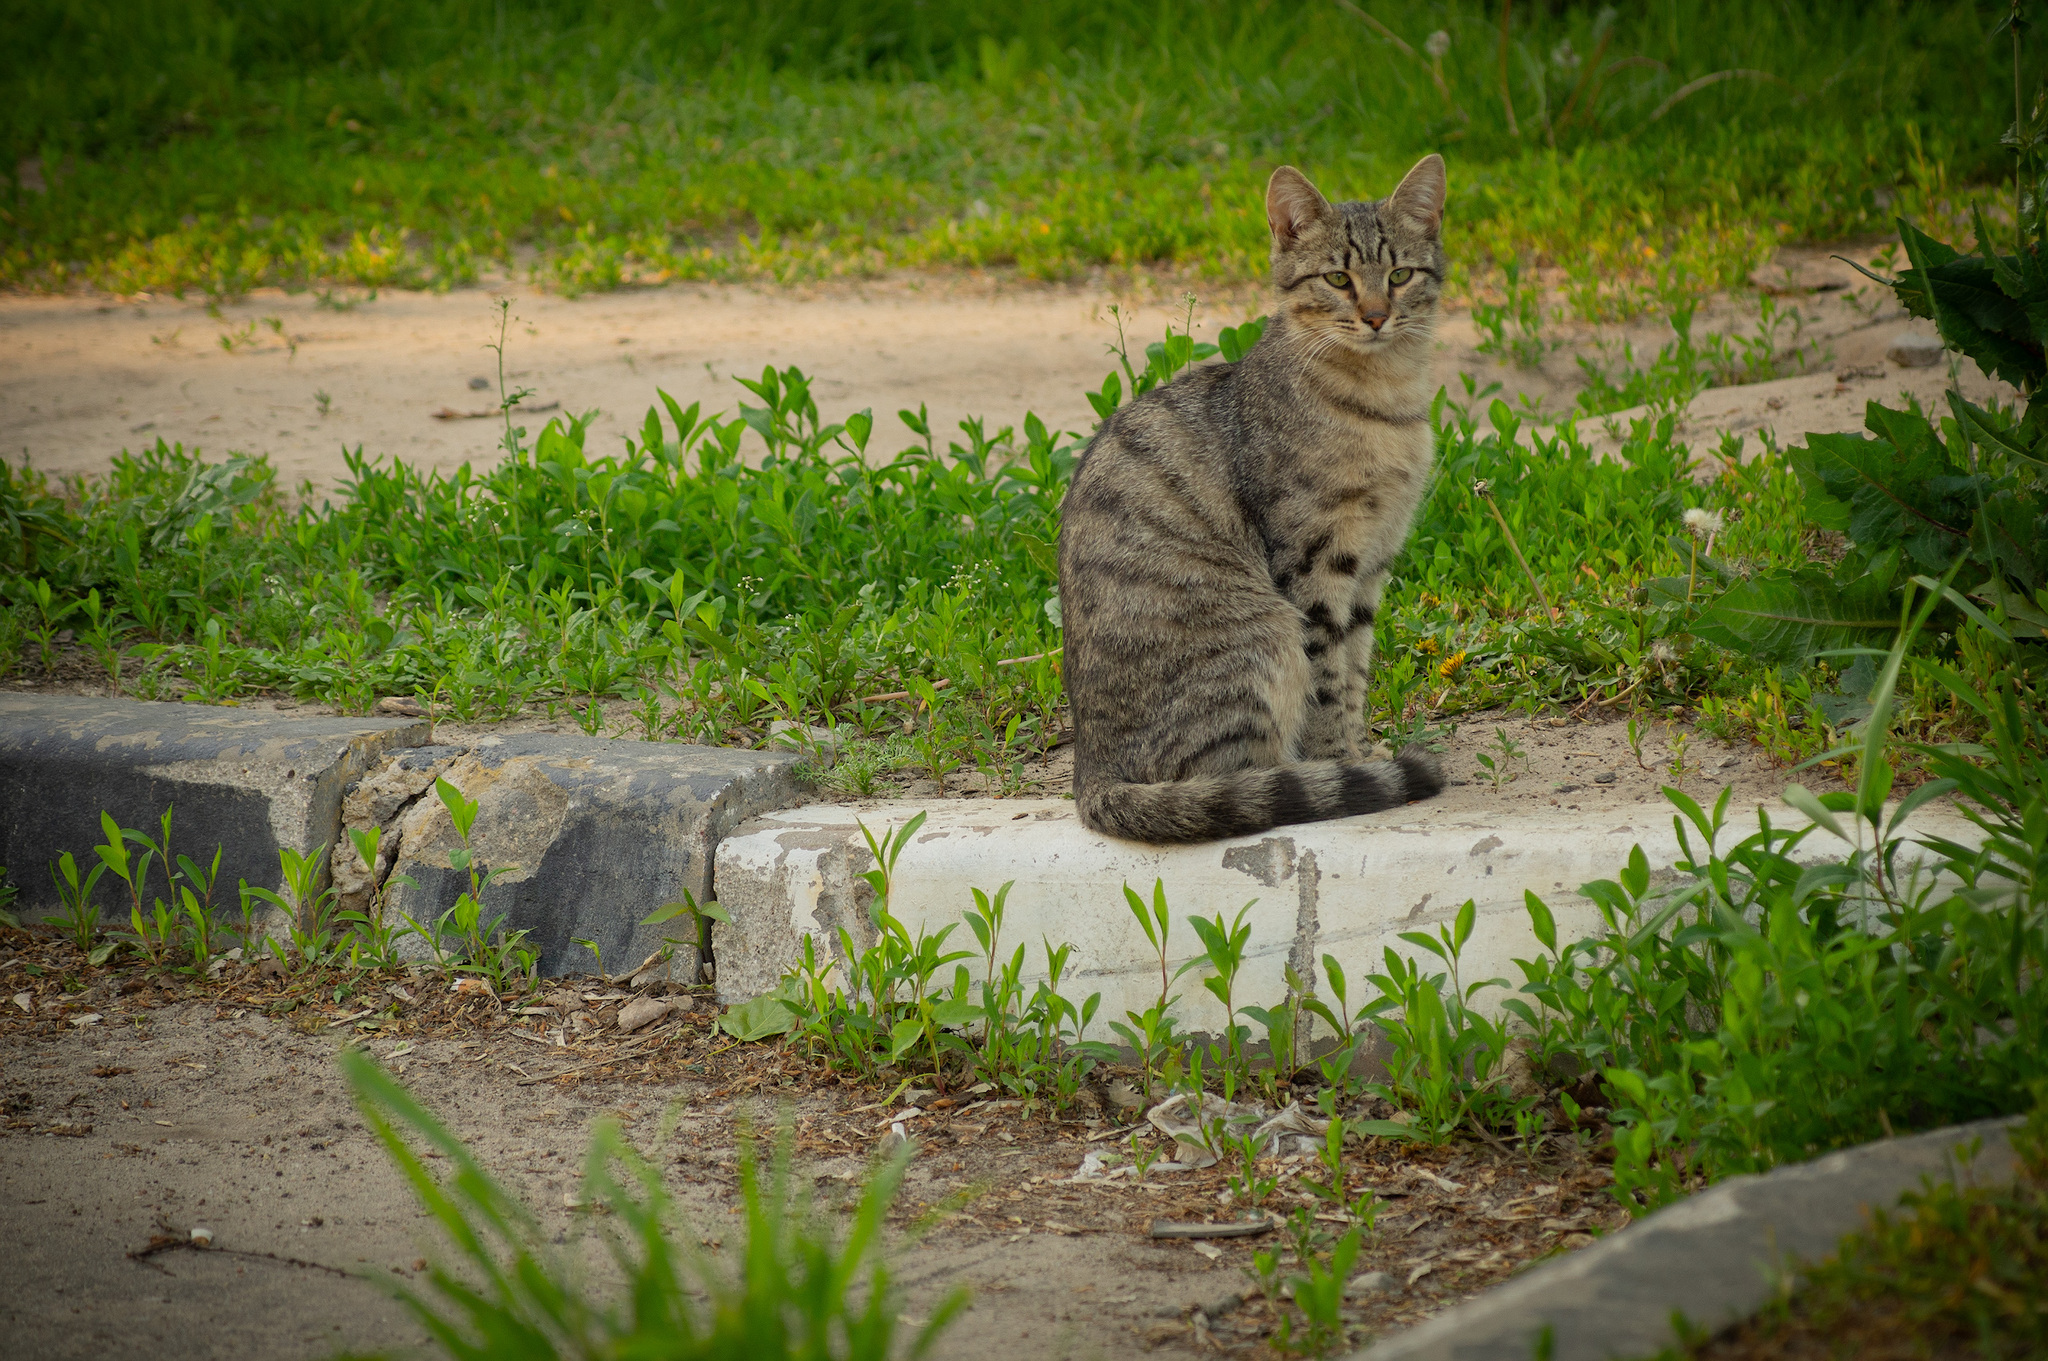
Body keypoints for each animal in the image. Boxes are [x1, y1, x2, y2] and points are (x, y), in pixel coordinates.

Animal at [1064, 156, 1449, 839]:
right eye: (1338, 278)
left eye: (1400, 275)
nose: (1377, 316)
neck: (1385, 402)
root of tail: (1092, 775)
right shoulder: (1314, 562)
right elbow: (1328, 679)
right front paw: (1338, 762)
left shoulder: (1372, 563)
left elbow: (1355, 670)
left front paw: (1359, 749)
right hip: (1261, 634)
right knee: (1224, 779)